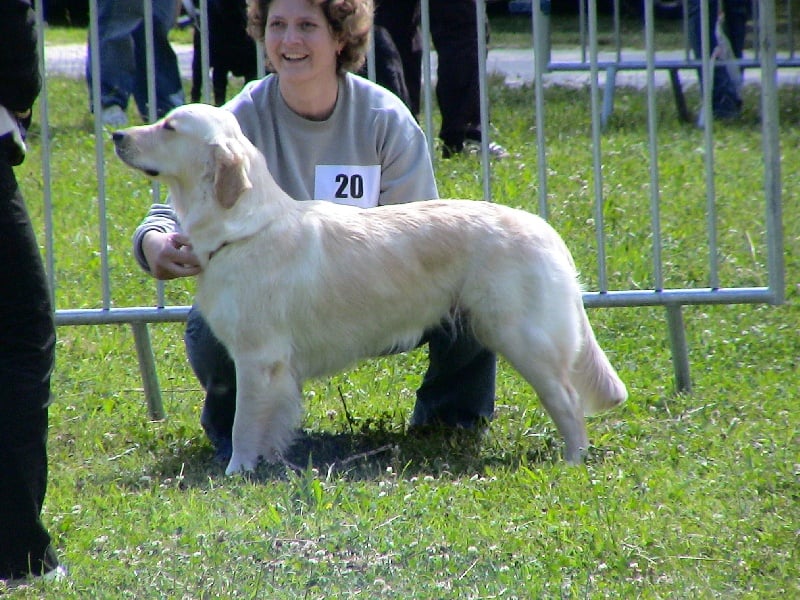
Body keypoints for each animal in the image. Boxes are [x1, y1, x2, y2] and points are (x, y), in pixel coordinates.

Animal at [112, 105, 628, 476]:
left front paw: (238, 471)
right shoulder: (274, 369)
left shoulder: (259, 357)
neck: (243, 230)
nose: (116, 135)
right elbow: (272, 421)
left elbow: (244, 424)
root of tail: (545, 229)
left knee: (568, 401)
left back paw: (573, 461)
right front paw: (270, 461)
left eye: (170, 126)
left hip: (522, 336)